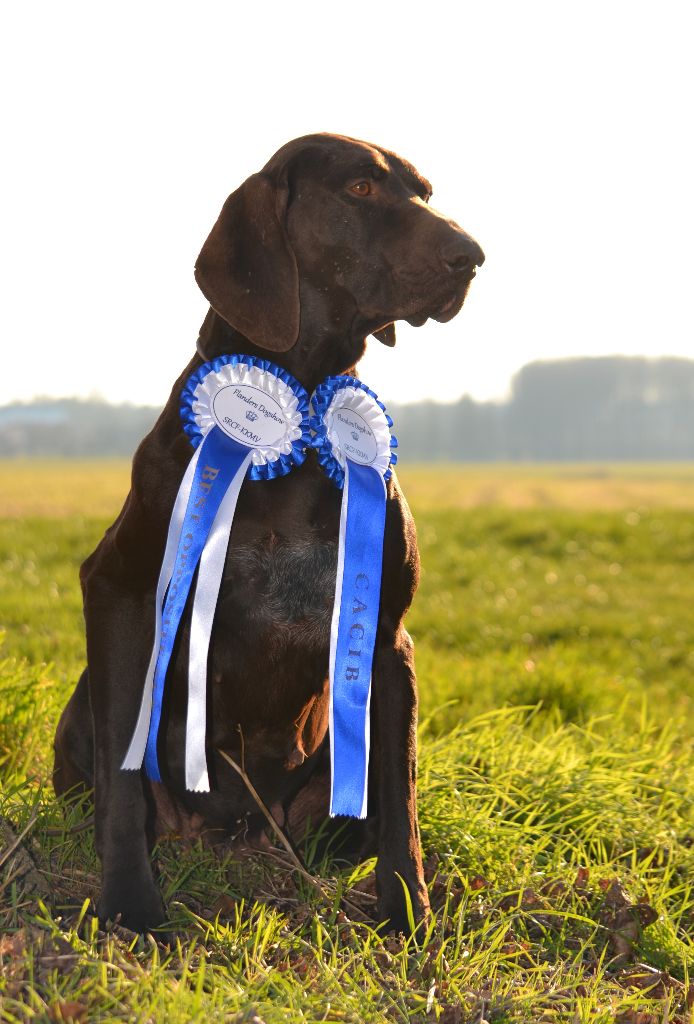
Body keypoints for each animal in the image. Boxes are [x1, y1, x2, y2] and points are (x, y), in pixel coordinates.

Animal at [52, 134, 483, 937]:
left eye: (425, 192)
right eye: (359, 187)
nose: (471, 256)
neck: (302, 413)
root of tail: (238, 836)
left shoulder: (387, 640)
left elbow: (402, 799)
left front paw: (407, 914)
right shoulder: (120, 591)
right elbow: (123, 785)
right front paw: (131, 907)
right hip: (87, 700)